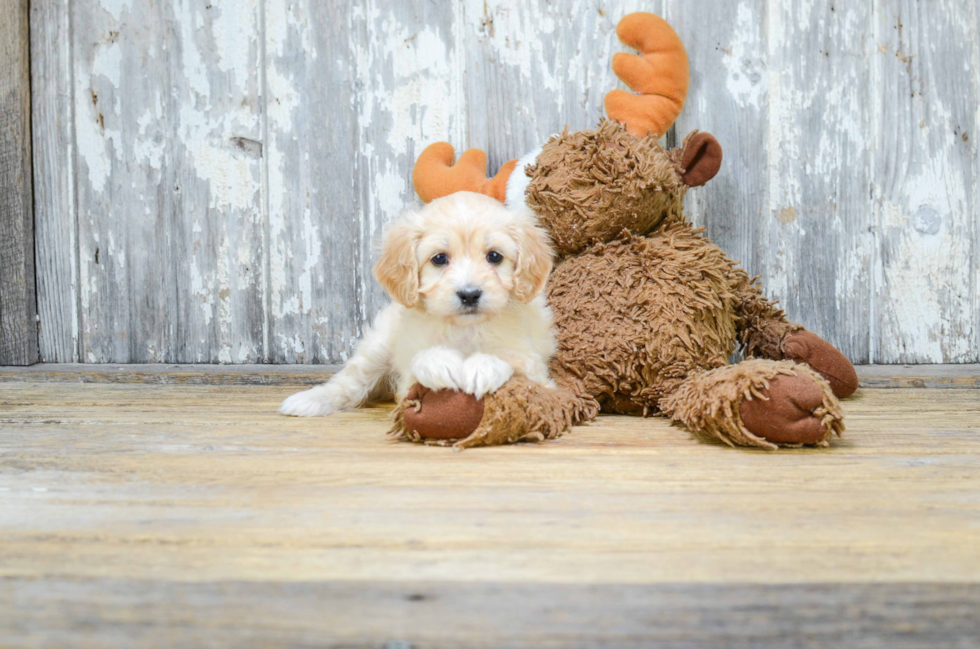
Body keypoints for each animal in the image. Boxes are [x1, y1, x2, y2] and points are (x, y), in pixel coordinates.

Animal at [282, 190, 560, 418]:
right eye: (439, 259)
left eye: (494, 256)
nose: (469, 294)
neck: (464, 329)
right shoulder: (407, 384)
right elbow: (421, 361)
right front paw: (439, 363)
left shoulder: (538, 374)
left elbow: (513, 359)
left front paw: (484, 365)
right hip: (378, 347)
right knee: (350, 383)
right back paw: (308, 401)